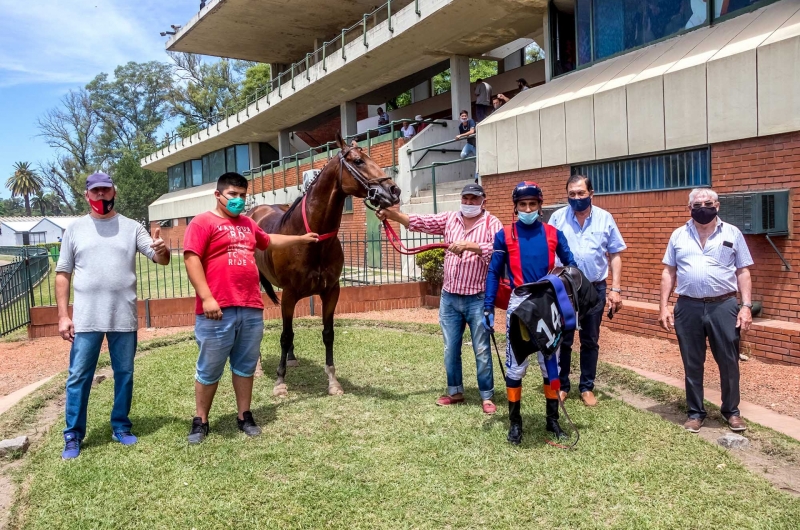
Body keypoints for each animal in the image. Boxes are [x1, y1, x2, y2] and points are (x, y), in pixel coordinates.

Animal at [248, 133, 400, 396]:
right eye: (358, 161)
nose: (394, 190)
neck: (312, 239)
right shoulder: (289, 294)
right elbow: (285, 335)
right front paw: (280, 381)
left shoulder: (331, 291)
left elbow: (327, 334)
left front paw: (333, 381)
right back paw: (256, 366)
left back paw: (292, 358)